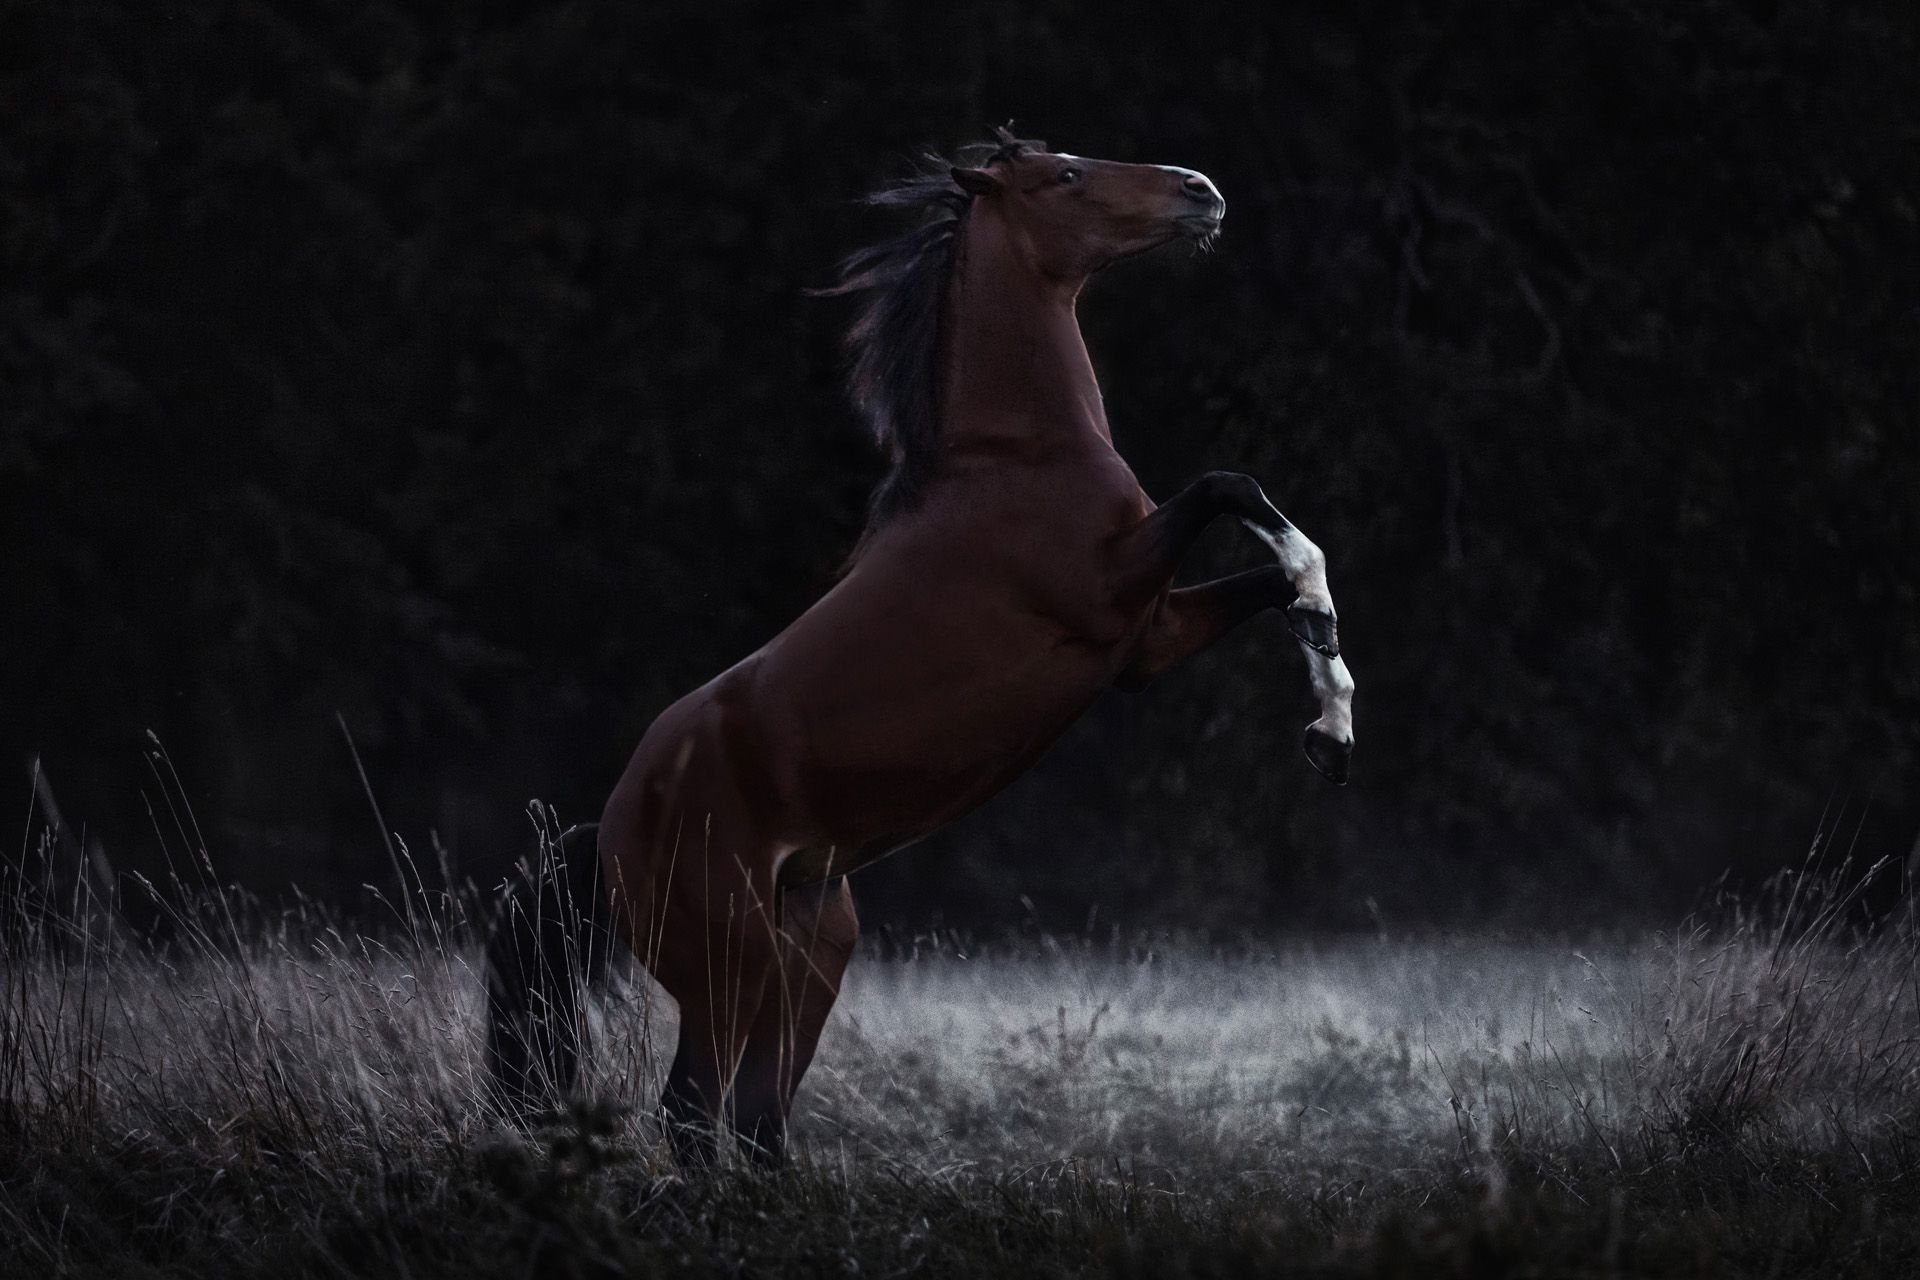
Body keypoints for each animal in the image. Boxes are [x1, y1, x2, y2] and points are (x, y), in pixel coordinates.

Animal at [483, 127, 1356, 1166]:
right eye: (1065, 175)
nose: (1201, 191)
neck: (1014, 458)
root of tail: (609, 828)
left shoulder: (1148, 642)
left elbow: (1272, 574)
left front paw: (1330, 712)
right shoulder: (1112, 591)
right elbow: (1230, 486)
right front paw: (1325, 672)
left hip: (812, 952)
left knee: (757, 1121)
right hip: (730, 966)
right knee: (695, 1117)